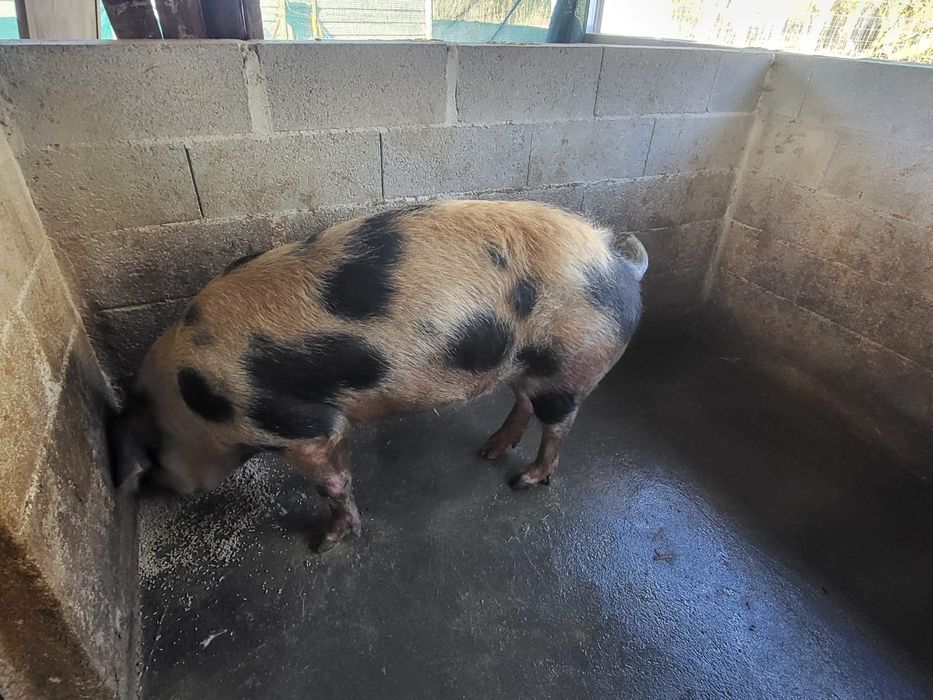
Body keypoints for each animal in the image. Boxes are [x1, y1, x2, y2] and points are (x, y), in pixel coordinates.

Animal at [110, 200, 647, 551]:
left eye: (152, 464)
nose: (163, 491)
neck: (193, 402)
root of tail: (617, 258)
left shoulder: (296, 425)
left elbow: (331, 481)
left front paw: (325, 543)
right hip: (525, 361)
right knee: (522, 402)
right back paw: (489, 451)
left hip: (572, 361)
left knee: (558, 424)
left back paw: (525, 479)